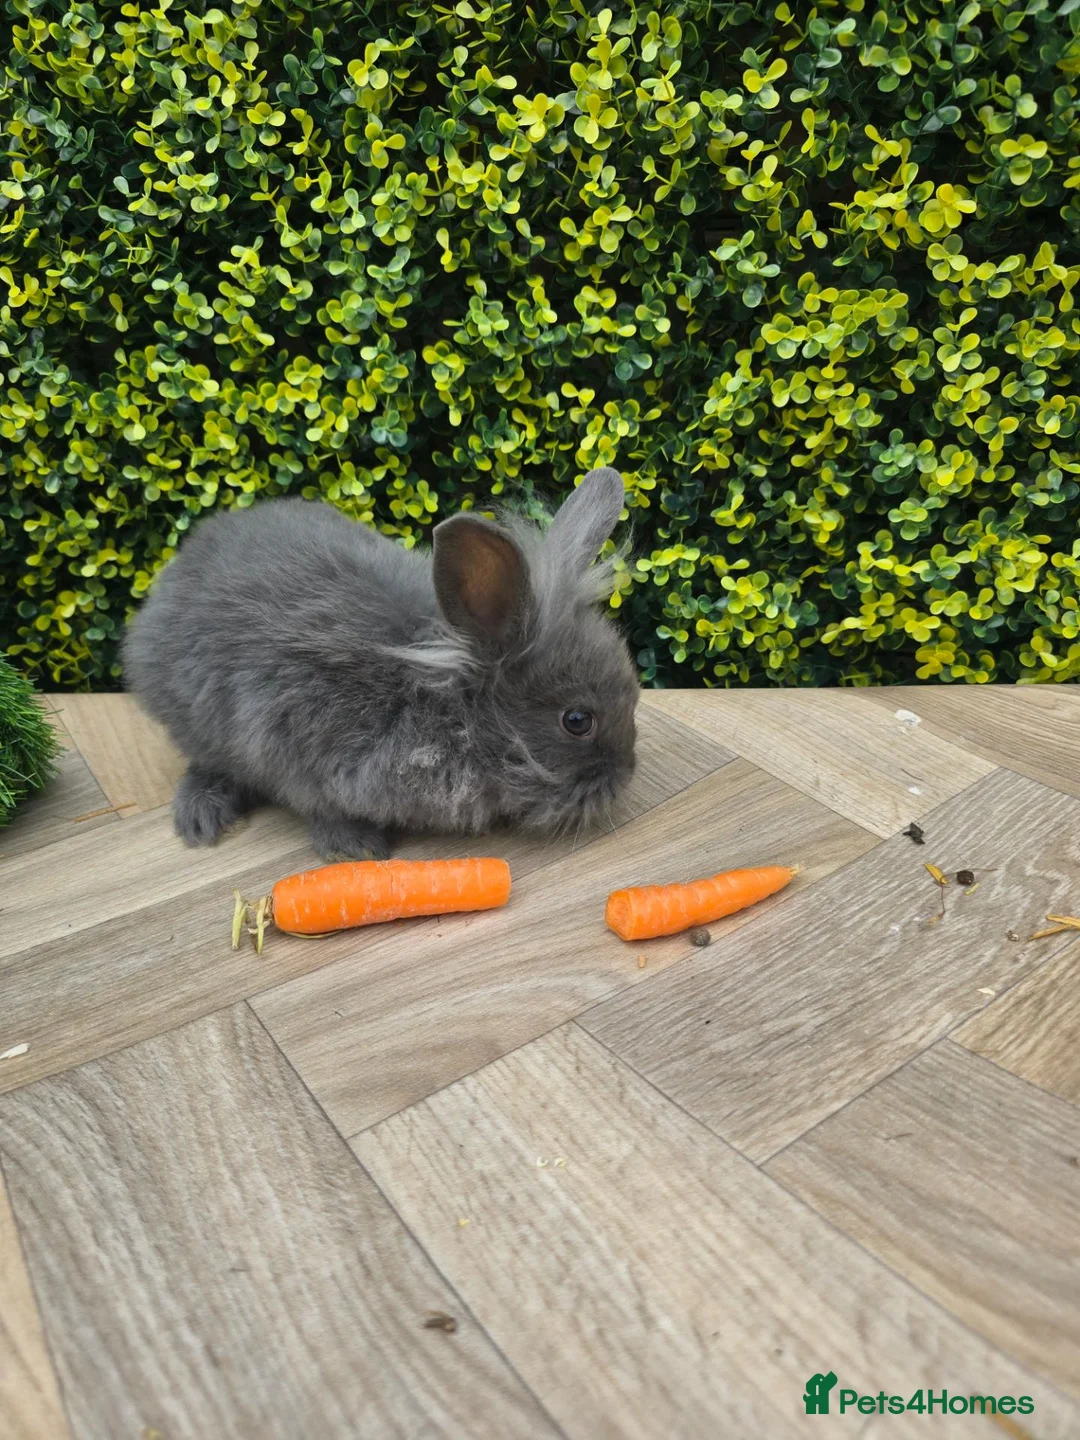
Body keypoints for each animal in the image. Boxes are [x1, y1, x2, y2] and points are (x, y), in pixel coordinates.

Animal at [122, 466, 639, 860]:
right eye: (577, 720)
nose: (626, 775)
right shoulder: (292, 739)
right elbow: (321, 805)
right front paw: (355, 848)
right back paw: (201, 816)